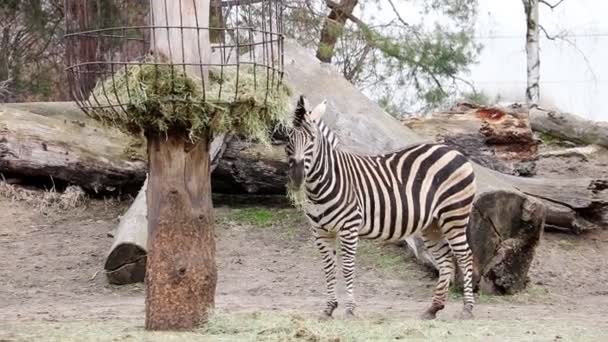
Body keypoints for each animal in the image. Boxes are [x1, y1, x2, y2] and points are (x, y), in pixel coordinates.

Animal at [286, 95, 480, 320]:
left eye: (311, 139)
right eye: (288, 140)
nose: (297, 177)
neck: (323, 184)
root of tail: (453, 151)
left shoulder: (349, 228)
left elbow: (347, 268)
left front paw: (350, 309)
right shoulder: (320, 231)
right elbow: (329, 269)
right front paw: (329, 308)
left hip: (454, 215)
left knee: (465, 256)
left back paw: (467, 308)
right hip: (432, 224)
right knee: (446, 259)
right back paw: (433, 308)